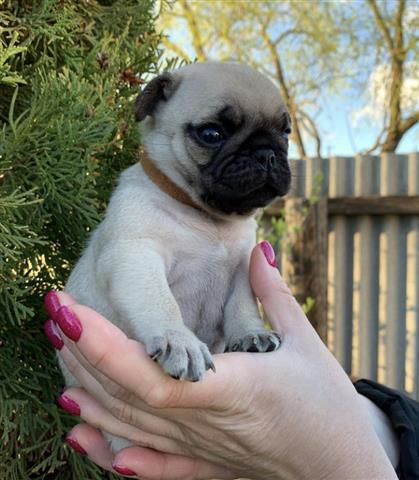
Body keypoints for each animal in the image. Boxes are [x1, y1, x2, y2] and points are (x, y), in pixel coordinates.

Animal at [61, 62, 292, 452]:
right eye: (211, 133)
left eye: (285, 132)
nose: (267, 153)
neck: (208, 219)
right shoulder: (137, 256)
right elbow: (160, 301)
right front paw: (178, 339)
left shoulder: (243, 269)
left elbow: (242, 306)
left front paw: (251, 334)